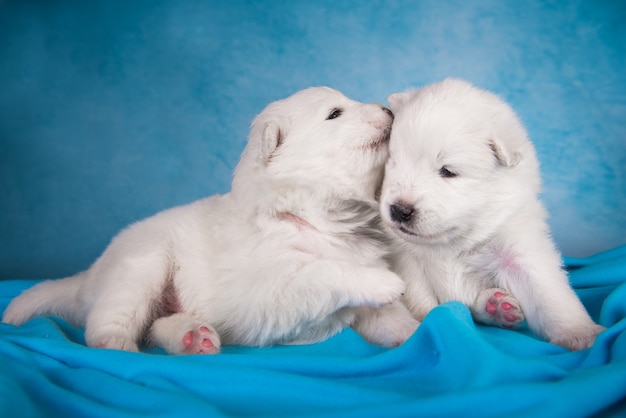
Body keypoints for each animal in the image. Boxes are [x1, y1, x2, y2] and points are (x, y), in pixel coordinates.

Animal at [3, 86, 420, 354]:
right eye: (335, 113)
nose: (389, 112)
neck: (312, 215)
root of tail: (88, 279)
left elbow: (389, 320)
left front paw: (415, 331)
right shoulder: (268, 288)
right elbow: (321, 271)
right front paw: (384, 282)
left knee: (156, 325)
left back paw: (192, 337)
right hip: (143, 263)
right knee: (106, 323)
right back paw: (120, 347)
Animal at [378, 77, 604, 350]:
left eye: (448, 171)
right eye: (393, 161)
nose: (399, 210)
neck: (453, 241)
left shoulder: (519, 251)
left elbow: (549, 294)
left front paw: (581, 333)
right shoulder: (408, 262)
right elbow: (423, 301)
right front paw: (425, 326)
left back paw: (497, 306)